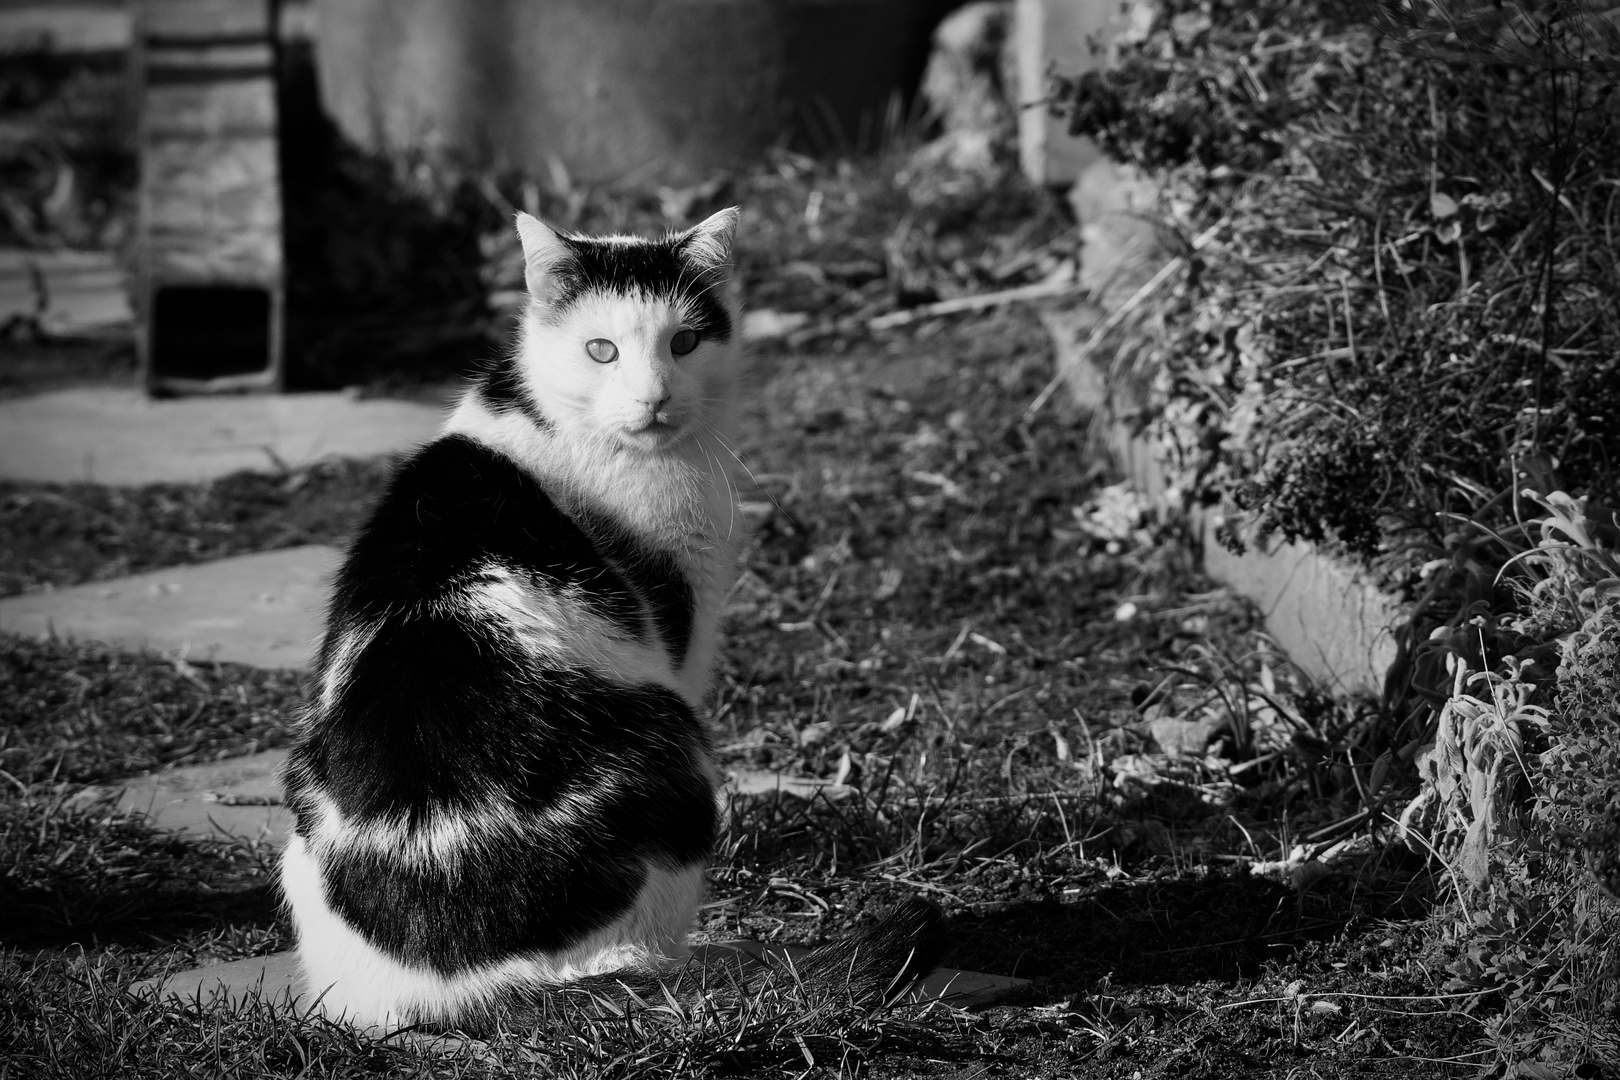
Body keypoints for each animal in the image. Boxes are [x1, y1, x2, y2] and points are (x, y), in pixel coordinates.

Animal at [273, 204, 946, 1029]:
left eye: (684, 342)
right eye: (602, 350)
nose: (653, 397)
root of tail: (460, 993)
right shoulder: (682, 632)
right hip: (677, 749)